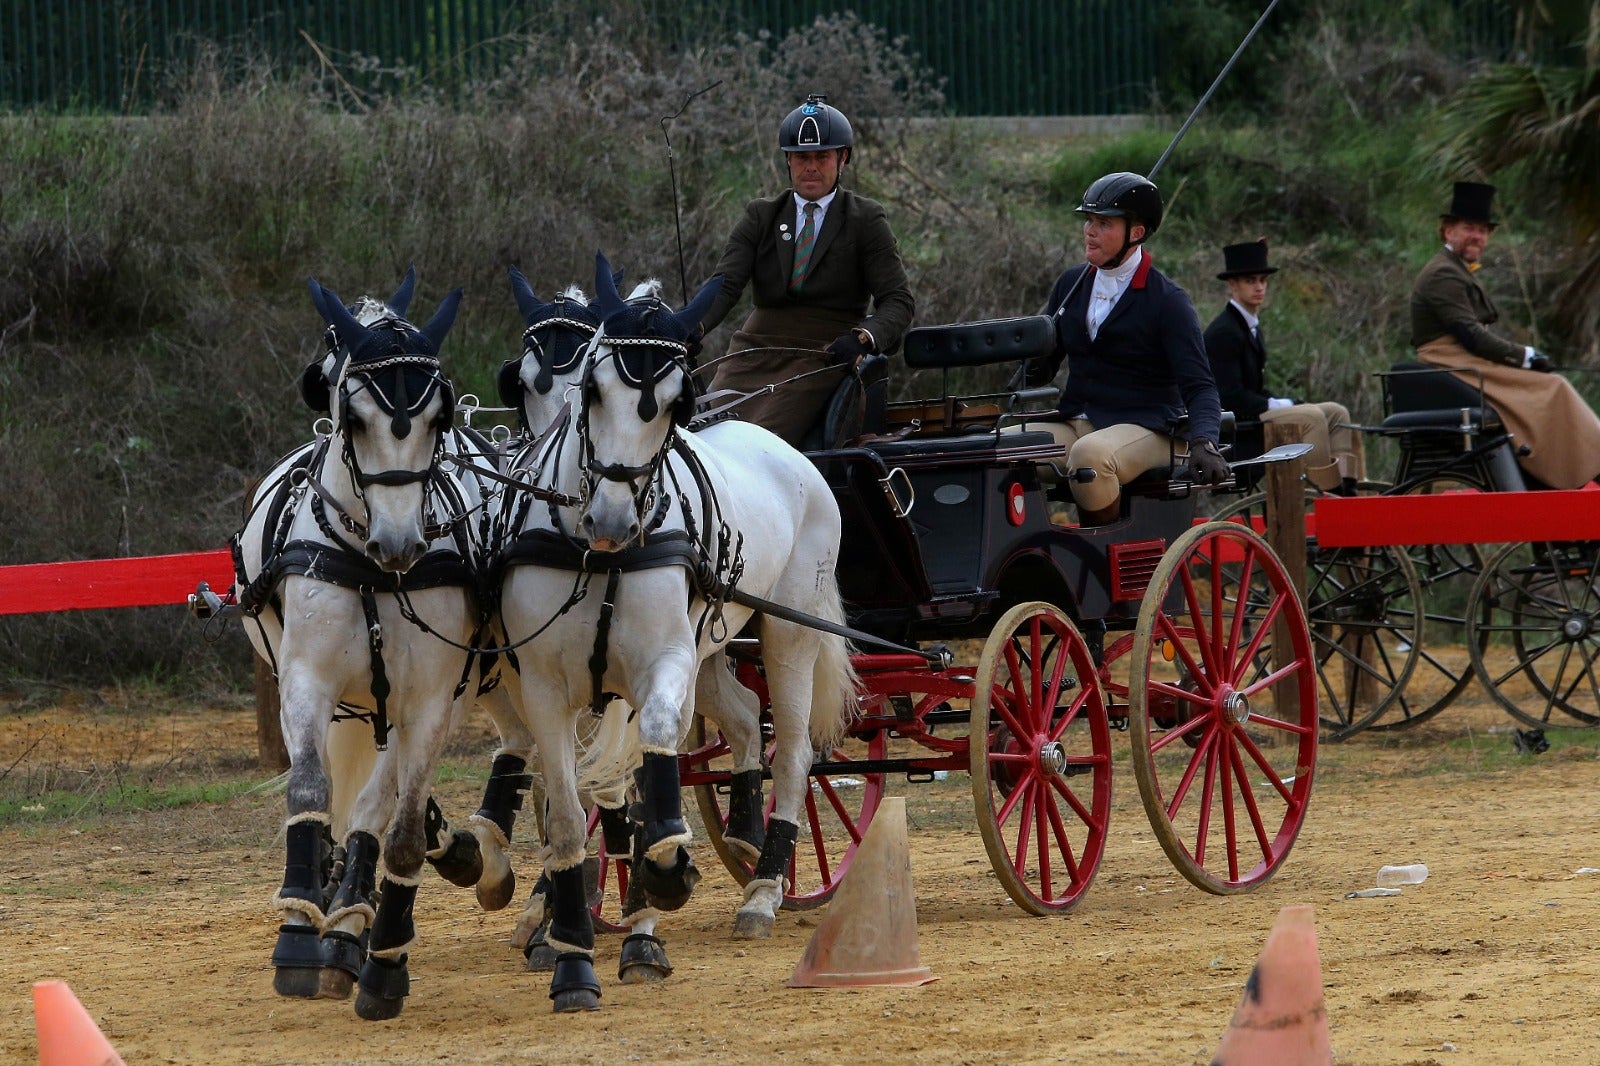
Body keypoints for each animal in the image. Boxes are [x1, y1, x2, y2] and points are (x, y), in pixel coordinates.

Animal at [233, 270, 473, 1017]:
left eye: (438, 417)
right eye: (352, 413)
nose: (399, 544)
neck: (370, 568)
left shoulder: (429, 702)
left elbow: (396, 829)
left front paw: (376, 960)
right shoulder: (307, 680)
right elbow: (309, 788)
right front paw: (296, 931)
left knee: (379, 805)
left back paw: (352, 926)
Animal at [502, 252, 857, 1011]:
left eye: (674, 402)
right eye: (591, 389)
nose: (608, 518)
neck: (596, 553)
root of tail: (786, 450)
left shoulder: (659, 666)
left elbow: (645, 765)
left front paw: (658, 882)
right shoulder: (542, 686)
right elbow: (570, 802)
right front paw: (562, 930)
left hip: (787, 631)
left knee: (793, 750)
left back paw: (765, 886)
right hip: (716, 645)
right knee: (749, 720)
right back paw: (745, 836)